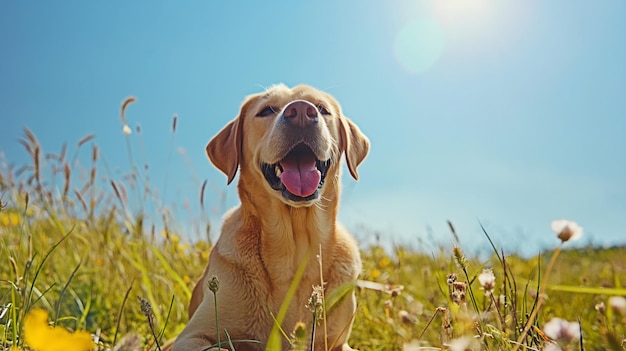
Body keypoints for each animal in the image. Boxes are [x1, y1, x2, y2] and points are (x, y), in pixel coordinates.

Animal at [171, 85, 366, 351]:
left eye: (322, 108)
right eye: (266, 110)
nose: (302, 112)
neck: (294, 252)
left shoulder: (339, 343)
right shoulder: (192, 336)